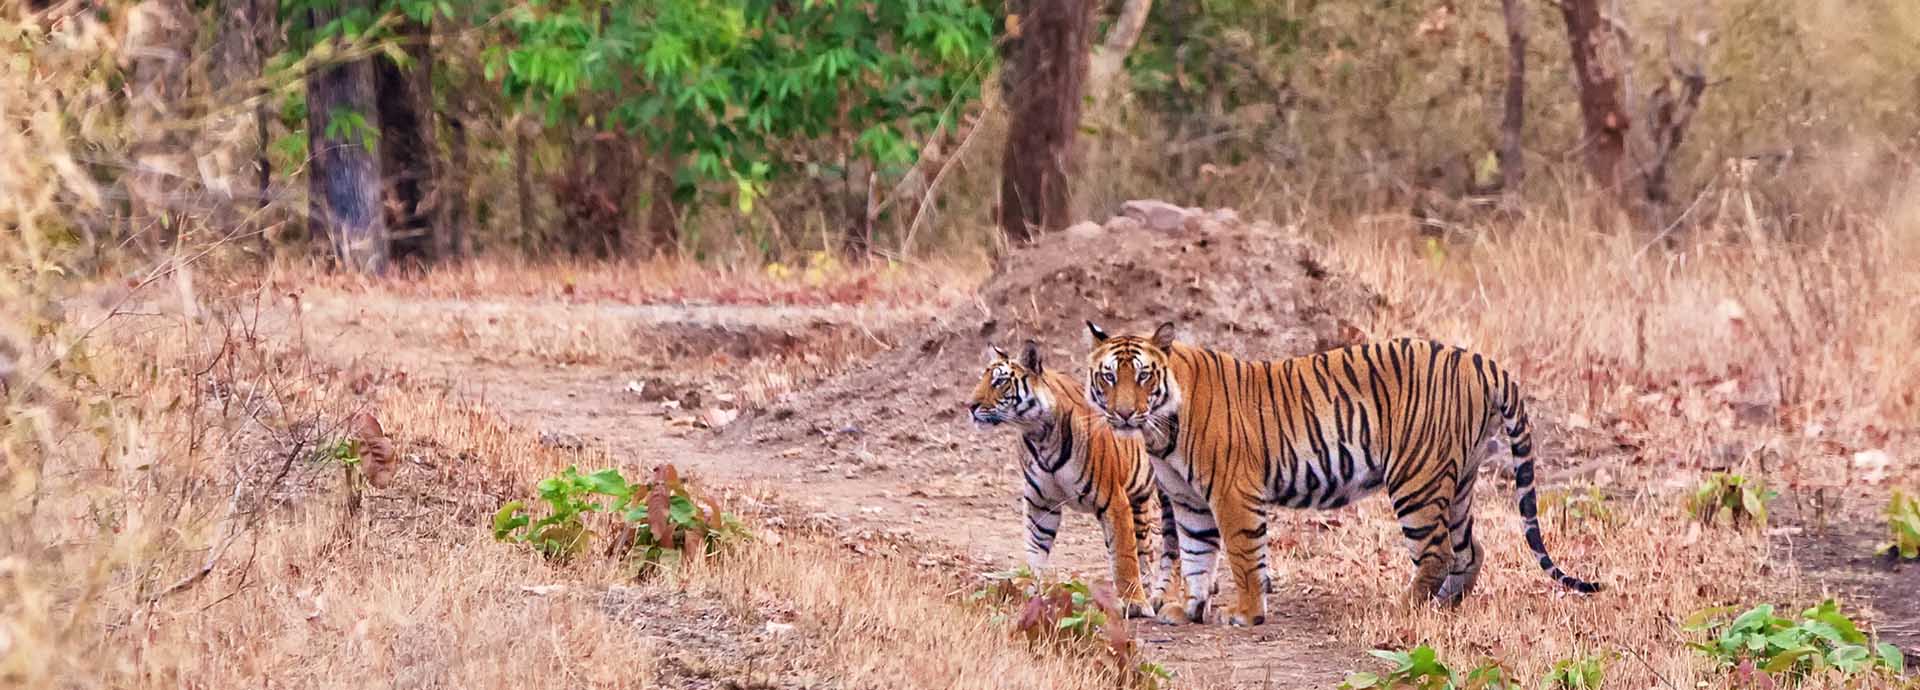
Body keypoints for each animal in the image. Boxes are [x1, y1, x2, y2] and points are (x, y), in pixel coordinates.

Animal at [967, 339, 1180, 617]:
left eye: (1000, 381)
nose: (970, 406)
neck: (1038, 434)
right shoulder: (1040, 503)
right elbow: (1035, 548)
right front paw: (1028, 591)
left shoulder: (1114, 500)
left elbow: (1124, 556)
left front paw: (1134, 602)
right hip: (1140, 499)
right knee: (1145, 547)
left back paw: (1167, 598)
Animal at [1082, 321, 1602, 626]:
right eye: (1108, 376)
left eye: (1143, 375)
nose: (1123, 413)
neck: (1161, 429)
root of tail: (1481, 360)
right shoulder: (1189, 501)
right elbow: (1195, 554)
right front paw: (1187, 609)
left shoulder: (1234, 493)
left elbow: (1243, 557)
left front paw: (1245, 614)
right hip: (1458, 483)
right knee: (1469, 550)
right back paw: (1446, 606)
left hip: (1417, 479)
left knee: (1436, 553)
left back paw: (1405, 610)